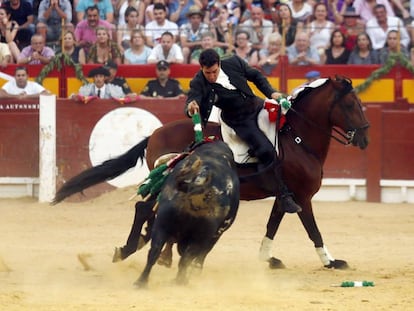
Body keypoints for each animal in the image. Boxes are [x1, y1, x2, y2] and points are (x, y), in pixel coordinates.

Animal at [54, 76, 368, 270]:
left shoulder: (285, 198)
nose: (365, 138)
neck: (297, 138)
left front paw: (267, 259)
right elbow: (313, 230)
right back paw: (137, 248)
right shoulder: (302, 197)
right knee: (144, 209)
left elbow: (272, 226)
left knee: (147, 212)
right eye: (350, 104)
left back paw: (141, 247)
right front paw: (331, 261)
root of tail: (155, 133)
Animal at [135, 141, 239, 288]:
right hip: (202, 235)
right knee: (186, 258)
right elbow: (201, 255)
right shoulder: (214, 236)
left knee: (154, 251)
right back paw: (181, 281)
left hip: (162, 222)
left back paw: (141, 282)